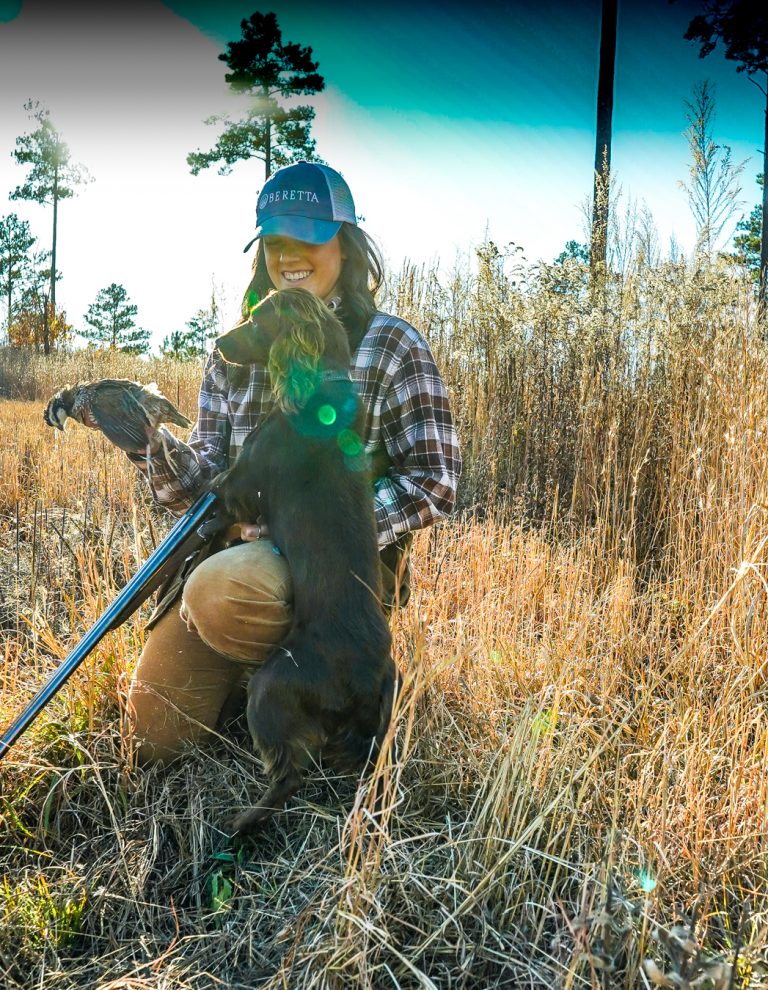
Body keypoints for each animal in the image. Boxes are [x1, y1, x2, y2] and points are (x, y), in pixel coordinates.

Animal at [214, 288, 396, 836]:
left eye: (256, 318)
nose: (217, 344)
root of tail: (369, 678)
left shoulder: (236, 485)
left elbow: (221, 486)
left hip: (271, 684)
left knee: (289, 777)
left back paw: (240, 823)